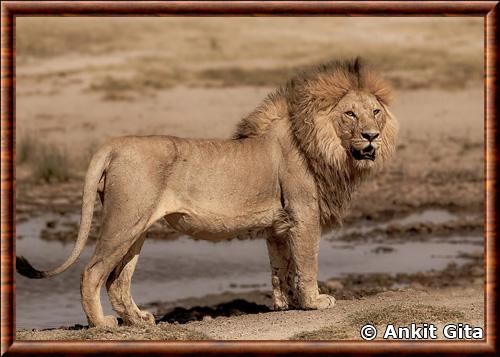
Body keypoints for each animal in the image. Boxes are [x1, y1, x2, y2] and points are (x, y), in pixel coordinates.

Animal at [16, 57, 398, 326]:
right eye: (350, 114)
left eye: (375, 112)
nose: (372, 136)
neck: (325, 147)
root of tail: (114, 144)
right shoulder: (304, 216)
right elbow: (306, 262)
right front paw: (314, 302)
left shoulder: (279, 225)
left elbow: (281, 267)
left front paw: (284, 304)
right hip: (124, 221)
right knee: (92, 273)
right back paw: (102, 324)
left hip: (137, 227)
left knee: (118, 281)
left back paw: (139, 320)